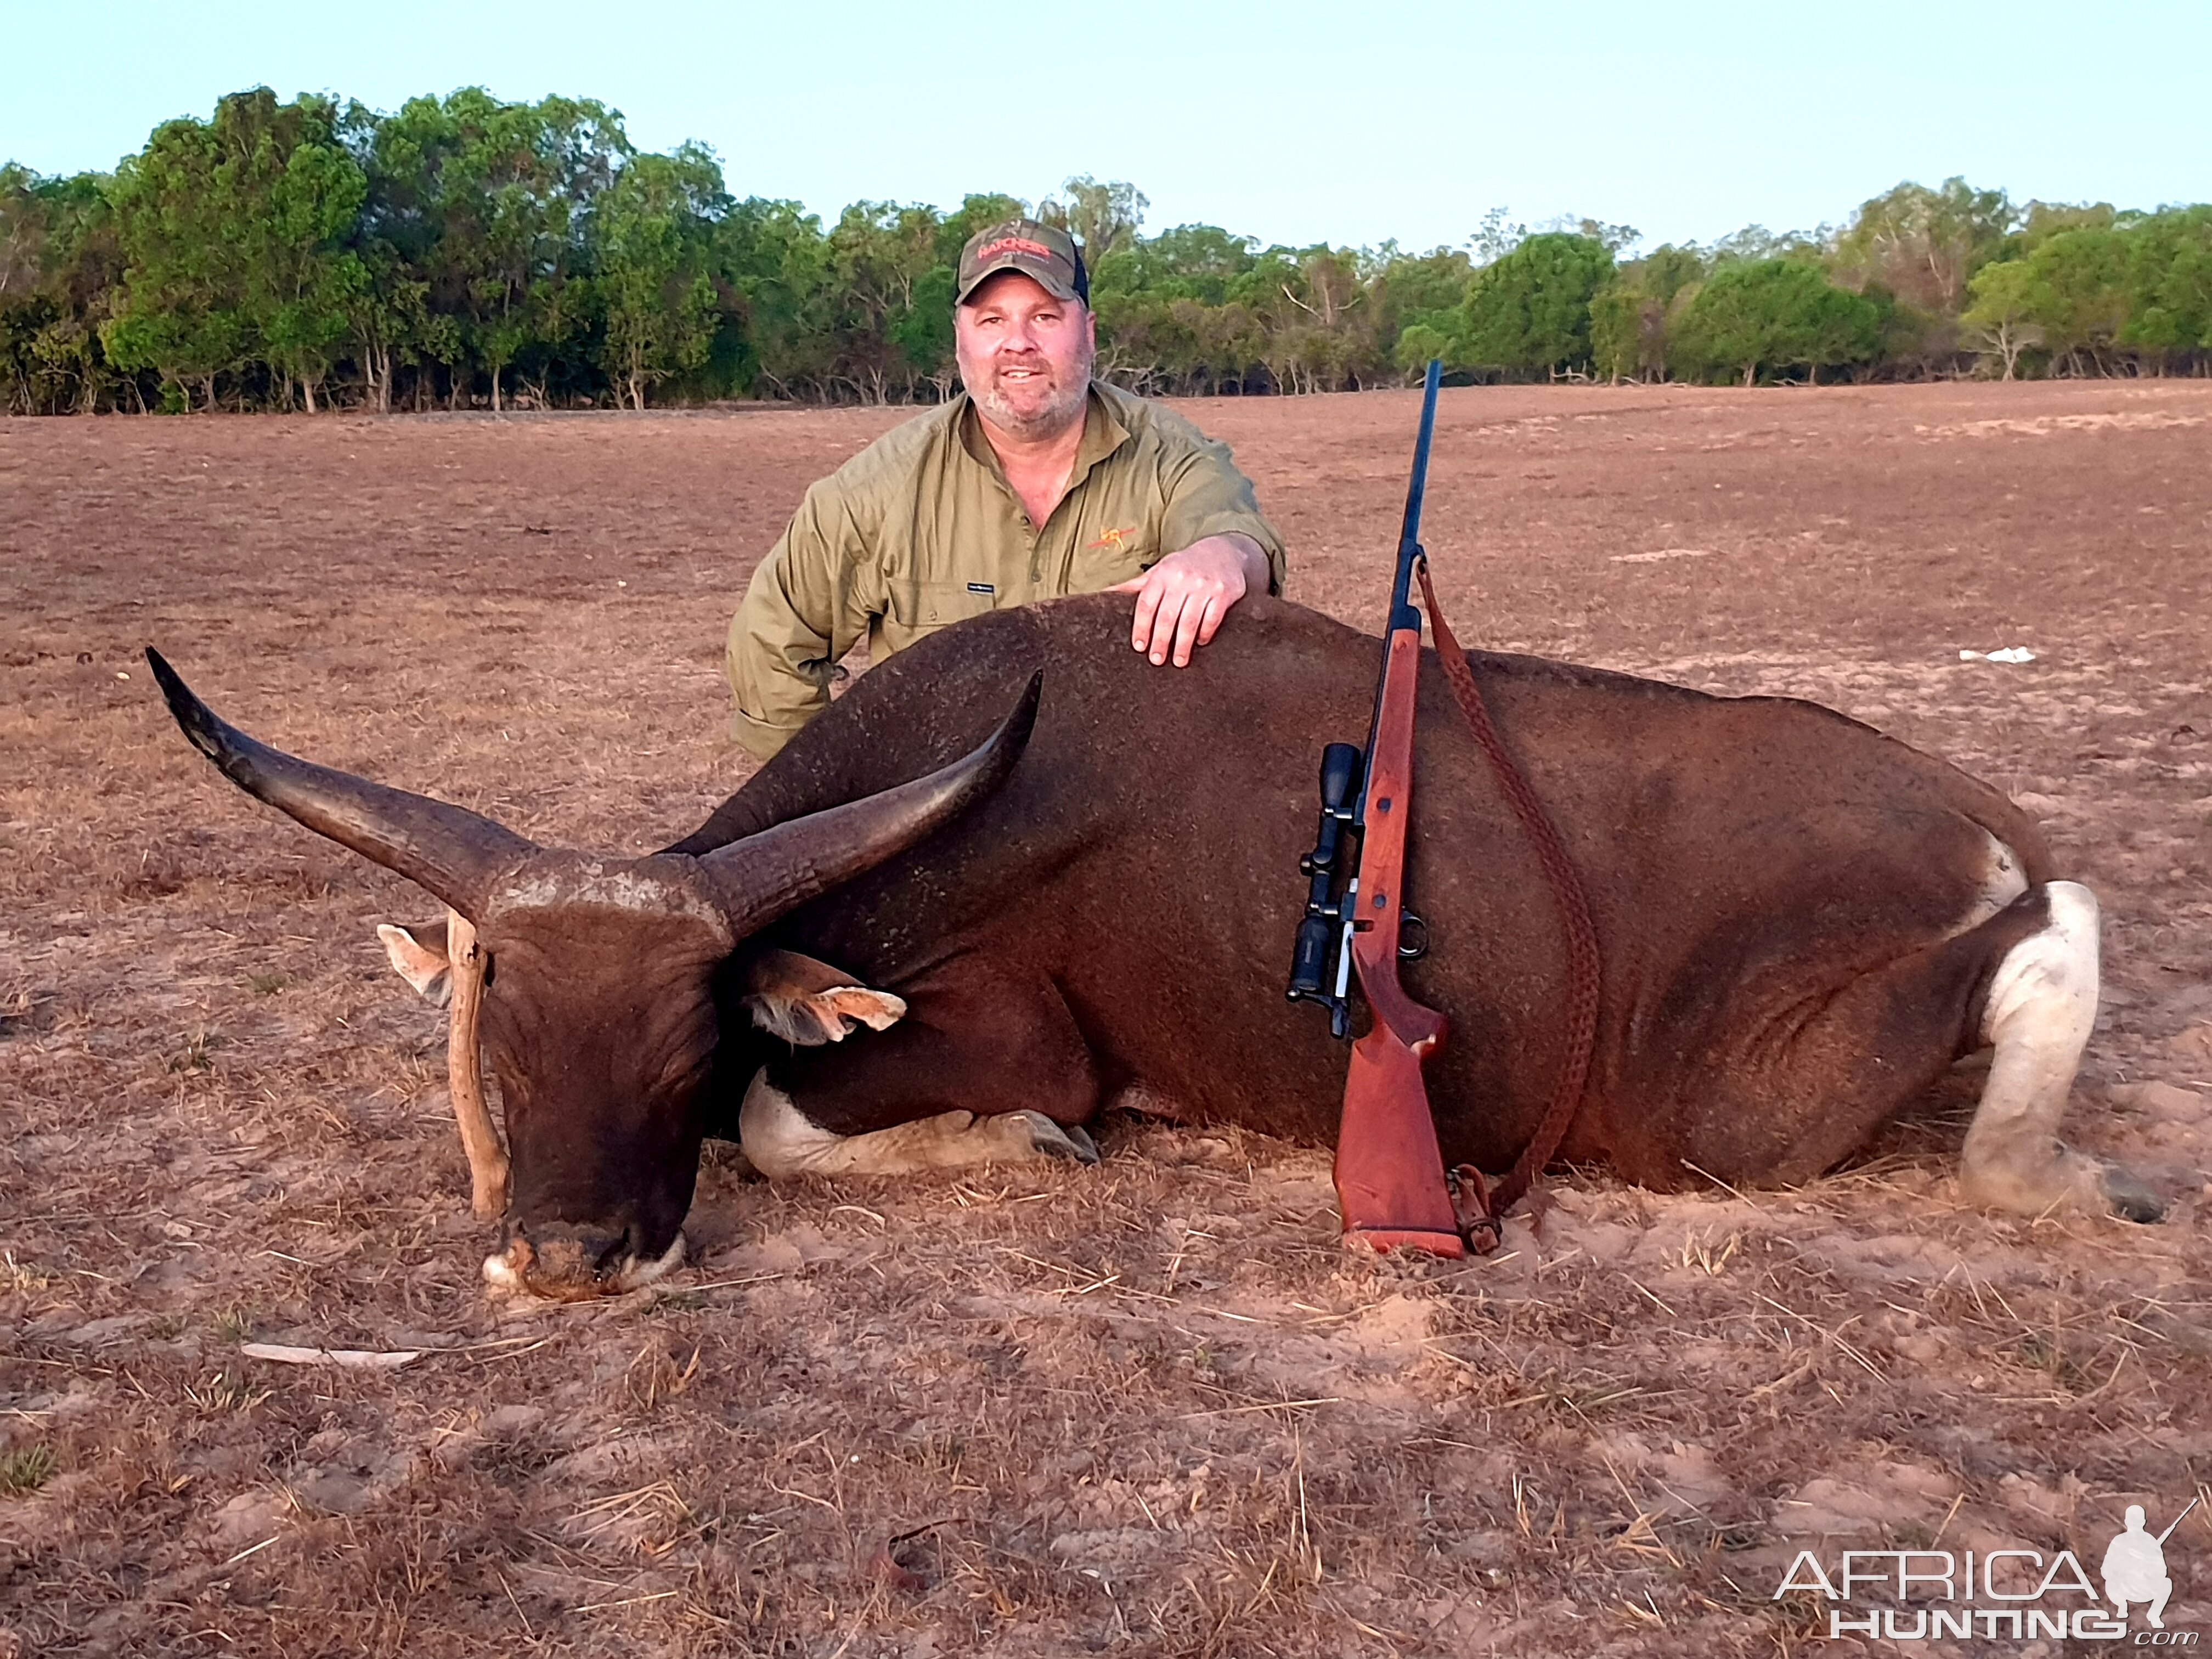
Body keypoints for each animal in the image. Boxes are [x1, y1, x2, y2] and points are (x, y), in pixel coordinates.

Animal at [151, 592, 2159, 1300]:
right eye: (504, 1045)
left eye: (679, 1042)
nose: (565, 1260)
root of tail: (1969, 814)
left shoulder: (1016, 1031)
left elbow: (797, 1122)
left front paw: (1026, 1143)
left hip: (1738, 1108)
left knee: (2060, 938)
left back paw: (2052, 1170)